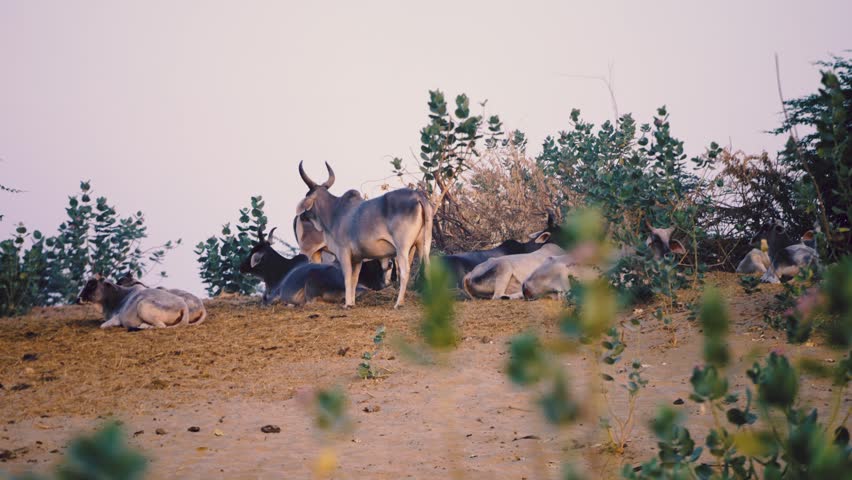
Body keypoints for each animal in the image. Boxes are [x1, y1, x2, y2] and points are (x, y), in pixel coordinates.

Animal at [296, 162, 433, 308]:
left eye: (307, 194)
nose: (302, 216)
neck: (334, 212)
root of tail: (418, 196)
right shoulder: (358, 258)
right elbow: (354, 279)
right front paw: (352, 302)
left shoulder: (344, 253)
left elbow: (347, 277)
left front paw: (347, 304)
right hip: (422, 244)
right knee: (428, 268)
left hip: (402, 248)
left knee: (405, 271)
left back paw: (398, 303)